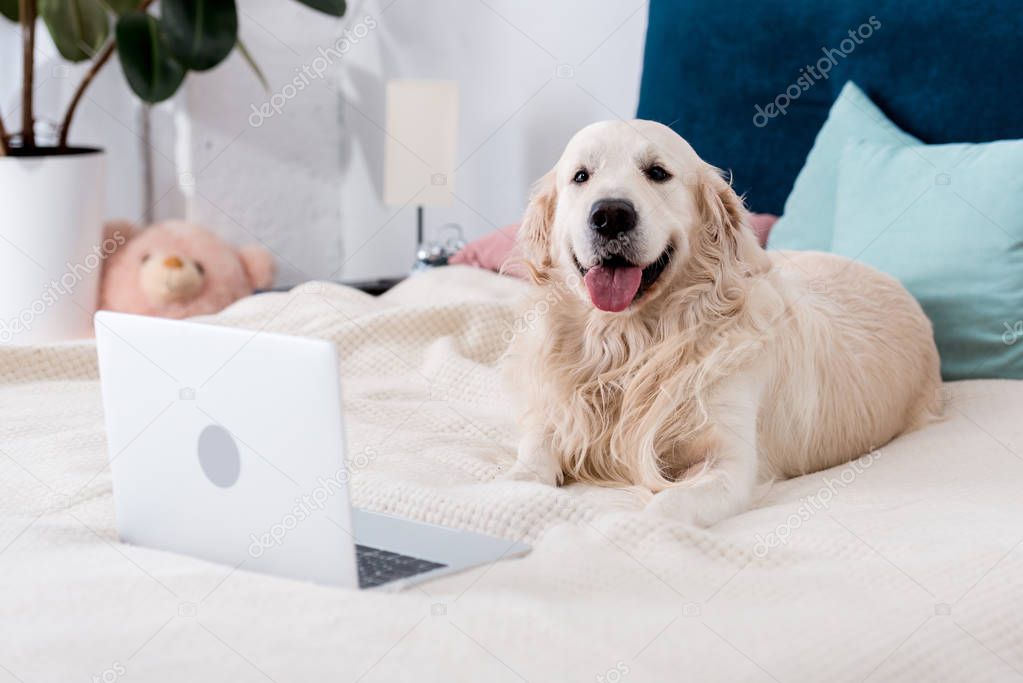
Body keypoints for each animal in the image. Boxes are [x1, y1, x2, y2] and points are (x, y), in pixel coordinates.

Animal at [499, 120, 937, 527]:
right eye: (581, 176)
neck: (633, 343)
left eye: (657, 172)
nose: (610, 215)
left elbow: (669, 505)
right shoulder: (556, 413)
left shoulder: (731, 462)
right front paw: (514, 487)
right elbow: (534, 451)